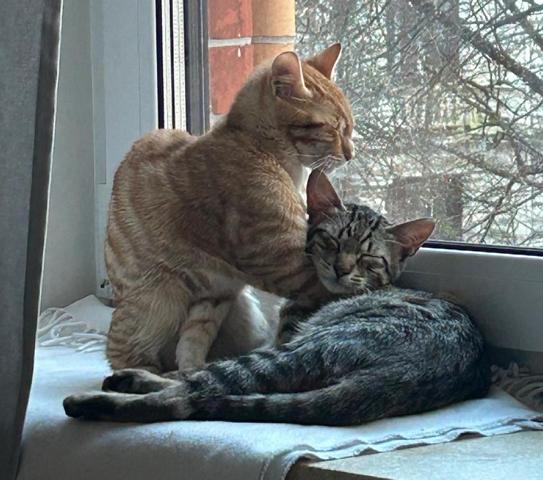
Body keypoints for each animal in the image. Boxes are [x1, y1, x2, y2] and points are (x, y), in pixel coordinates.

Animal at [64, 171, 490, 425]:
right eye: (333, 242)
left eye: (368, 258)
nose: (340, 269)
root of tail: (402, 377)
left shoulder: (282, 338)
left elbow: (195, 377)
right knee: (202, 385)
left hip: (301, 350)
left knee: (192, 395)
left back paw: (97, 400)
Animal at [105, 43, 354, 373]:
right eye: (333, 129)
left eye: (349, 128)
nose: (352, 154)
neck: (260, 148)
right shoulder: (279, 258)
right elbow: (329, 285)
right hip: (159, 301)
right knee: (122, 352)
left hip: (216, 297)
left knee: (189, 344)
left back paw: (190, 372)